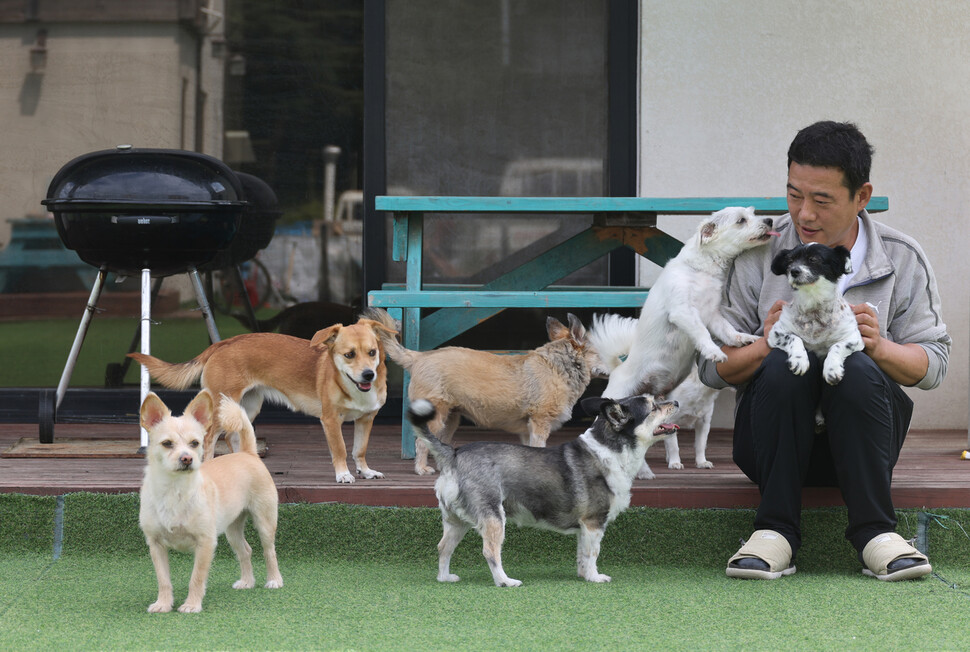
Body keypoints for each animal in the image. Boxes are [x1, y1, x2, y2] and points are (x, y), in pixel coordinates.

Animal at [130, 318, 394, 484]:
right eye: (349, 355)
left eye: (372, 352)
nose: (368, 375)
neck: (352, 386)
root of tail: (221, 344)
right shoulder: (330, 421)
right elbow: (340, 450)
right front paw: (344, 475)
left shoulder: (366, 420)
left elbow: (360, 449)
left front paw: (366, 471)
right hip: (220, 409)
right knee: (209, 438)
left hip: (247, 407)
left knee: (233, 437)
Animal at [140, 392, 284, 612]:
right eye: (167, 443)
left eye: (195, 443)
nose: (187, 458)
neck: (175, 490)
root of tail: (248, 453)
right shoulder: (155, 544)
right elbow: (163, 579)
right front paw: (163, 604)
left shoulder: (205, 542)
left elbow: (196, 578)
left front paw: (191, 605)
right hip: (232, 529)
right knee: (246, 550)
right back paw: (247, 582)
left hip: (265, 522)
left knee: (269, 551)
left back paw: (274, 580)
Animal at [404, 394, 676, 588]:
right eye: (653, 407)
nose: (676, 402)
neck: (611, 450)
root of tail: (454, 454)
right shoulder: (594, 523)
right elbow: (593, 553)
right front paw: (595, 577)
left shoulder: (584, 527)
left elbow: (582, 554)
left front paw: (583, 575)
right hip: (493, 517)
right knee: (490, 551)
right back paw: (505, 581)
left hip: (456, 520)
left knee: (443, 547)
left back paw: (444, 578)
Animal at [592, 208, 776, 398]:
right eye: (741, 220)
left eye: (753, 213)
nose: (770, 220)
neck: (702, 272)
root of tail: (616, 369)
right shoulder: (683, 311)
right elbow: (702, 332)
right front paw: (714, 351)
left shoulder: (713, 315)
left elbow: (728, 330)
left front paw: (744, 338)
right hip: (618, 395)